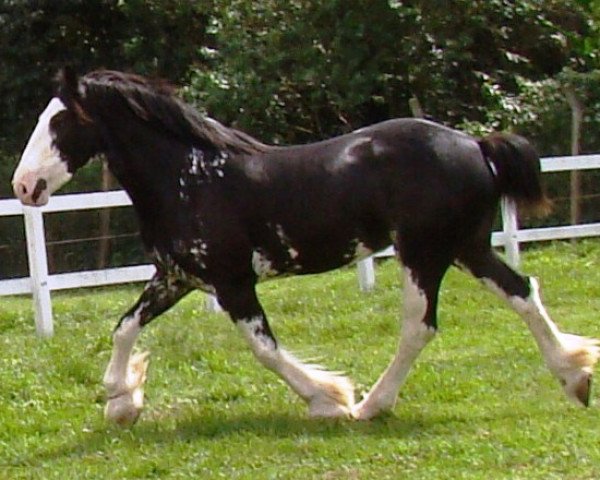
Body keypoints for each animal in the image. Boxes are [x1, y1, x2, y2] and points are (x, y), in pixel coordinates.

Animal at [11, 67, 596, 424]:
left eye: (61, 121)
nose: (23, 186)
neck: (190, 177)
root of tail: (475, 144)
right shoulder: (177, 278)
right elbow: (125, 326)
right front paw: (121, 402)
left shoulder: (232, 283)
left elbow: (264, 349)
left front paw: (329, 398)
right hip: (467, 246)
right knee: (521, 290)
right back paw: (575, 376)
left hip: (424, 253)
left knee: (420, 326)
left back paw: (371, 405)